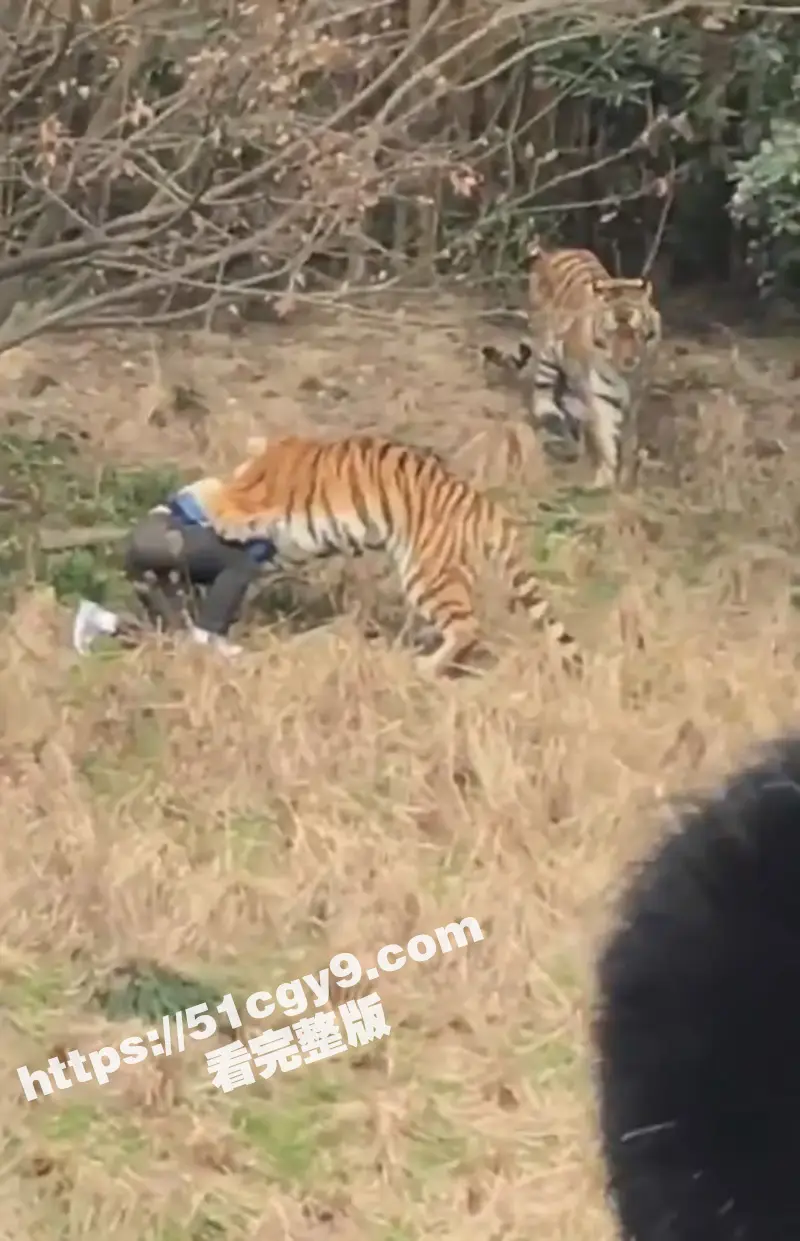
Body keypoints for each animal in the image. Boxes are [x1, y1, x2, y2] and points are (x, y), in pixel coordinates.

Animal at [198, 433, 581, 675]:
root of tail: (484, 505)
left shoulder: (261, 505)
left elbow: (225, 501)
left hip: (427, 575)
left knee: (467, 626)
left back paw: (426, 667)